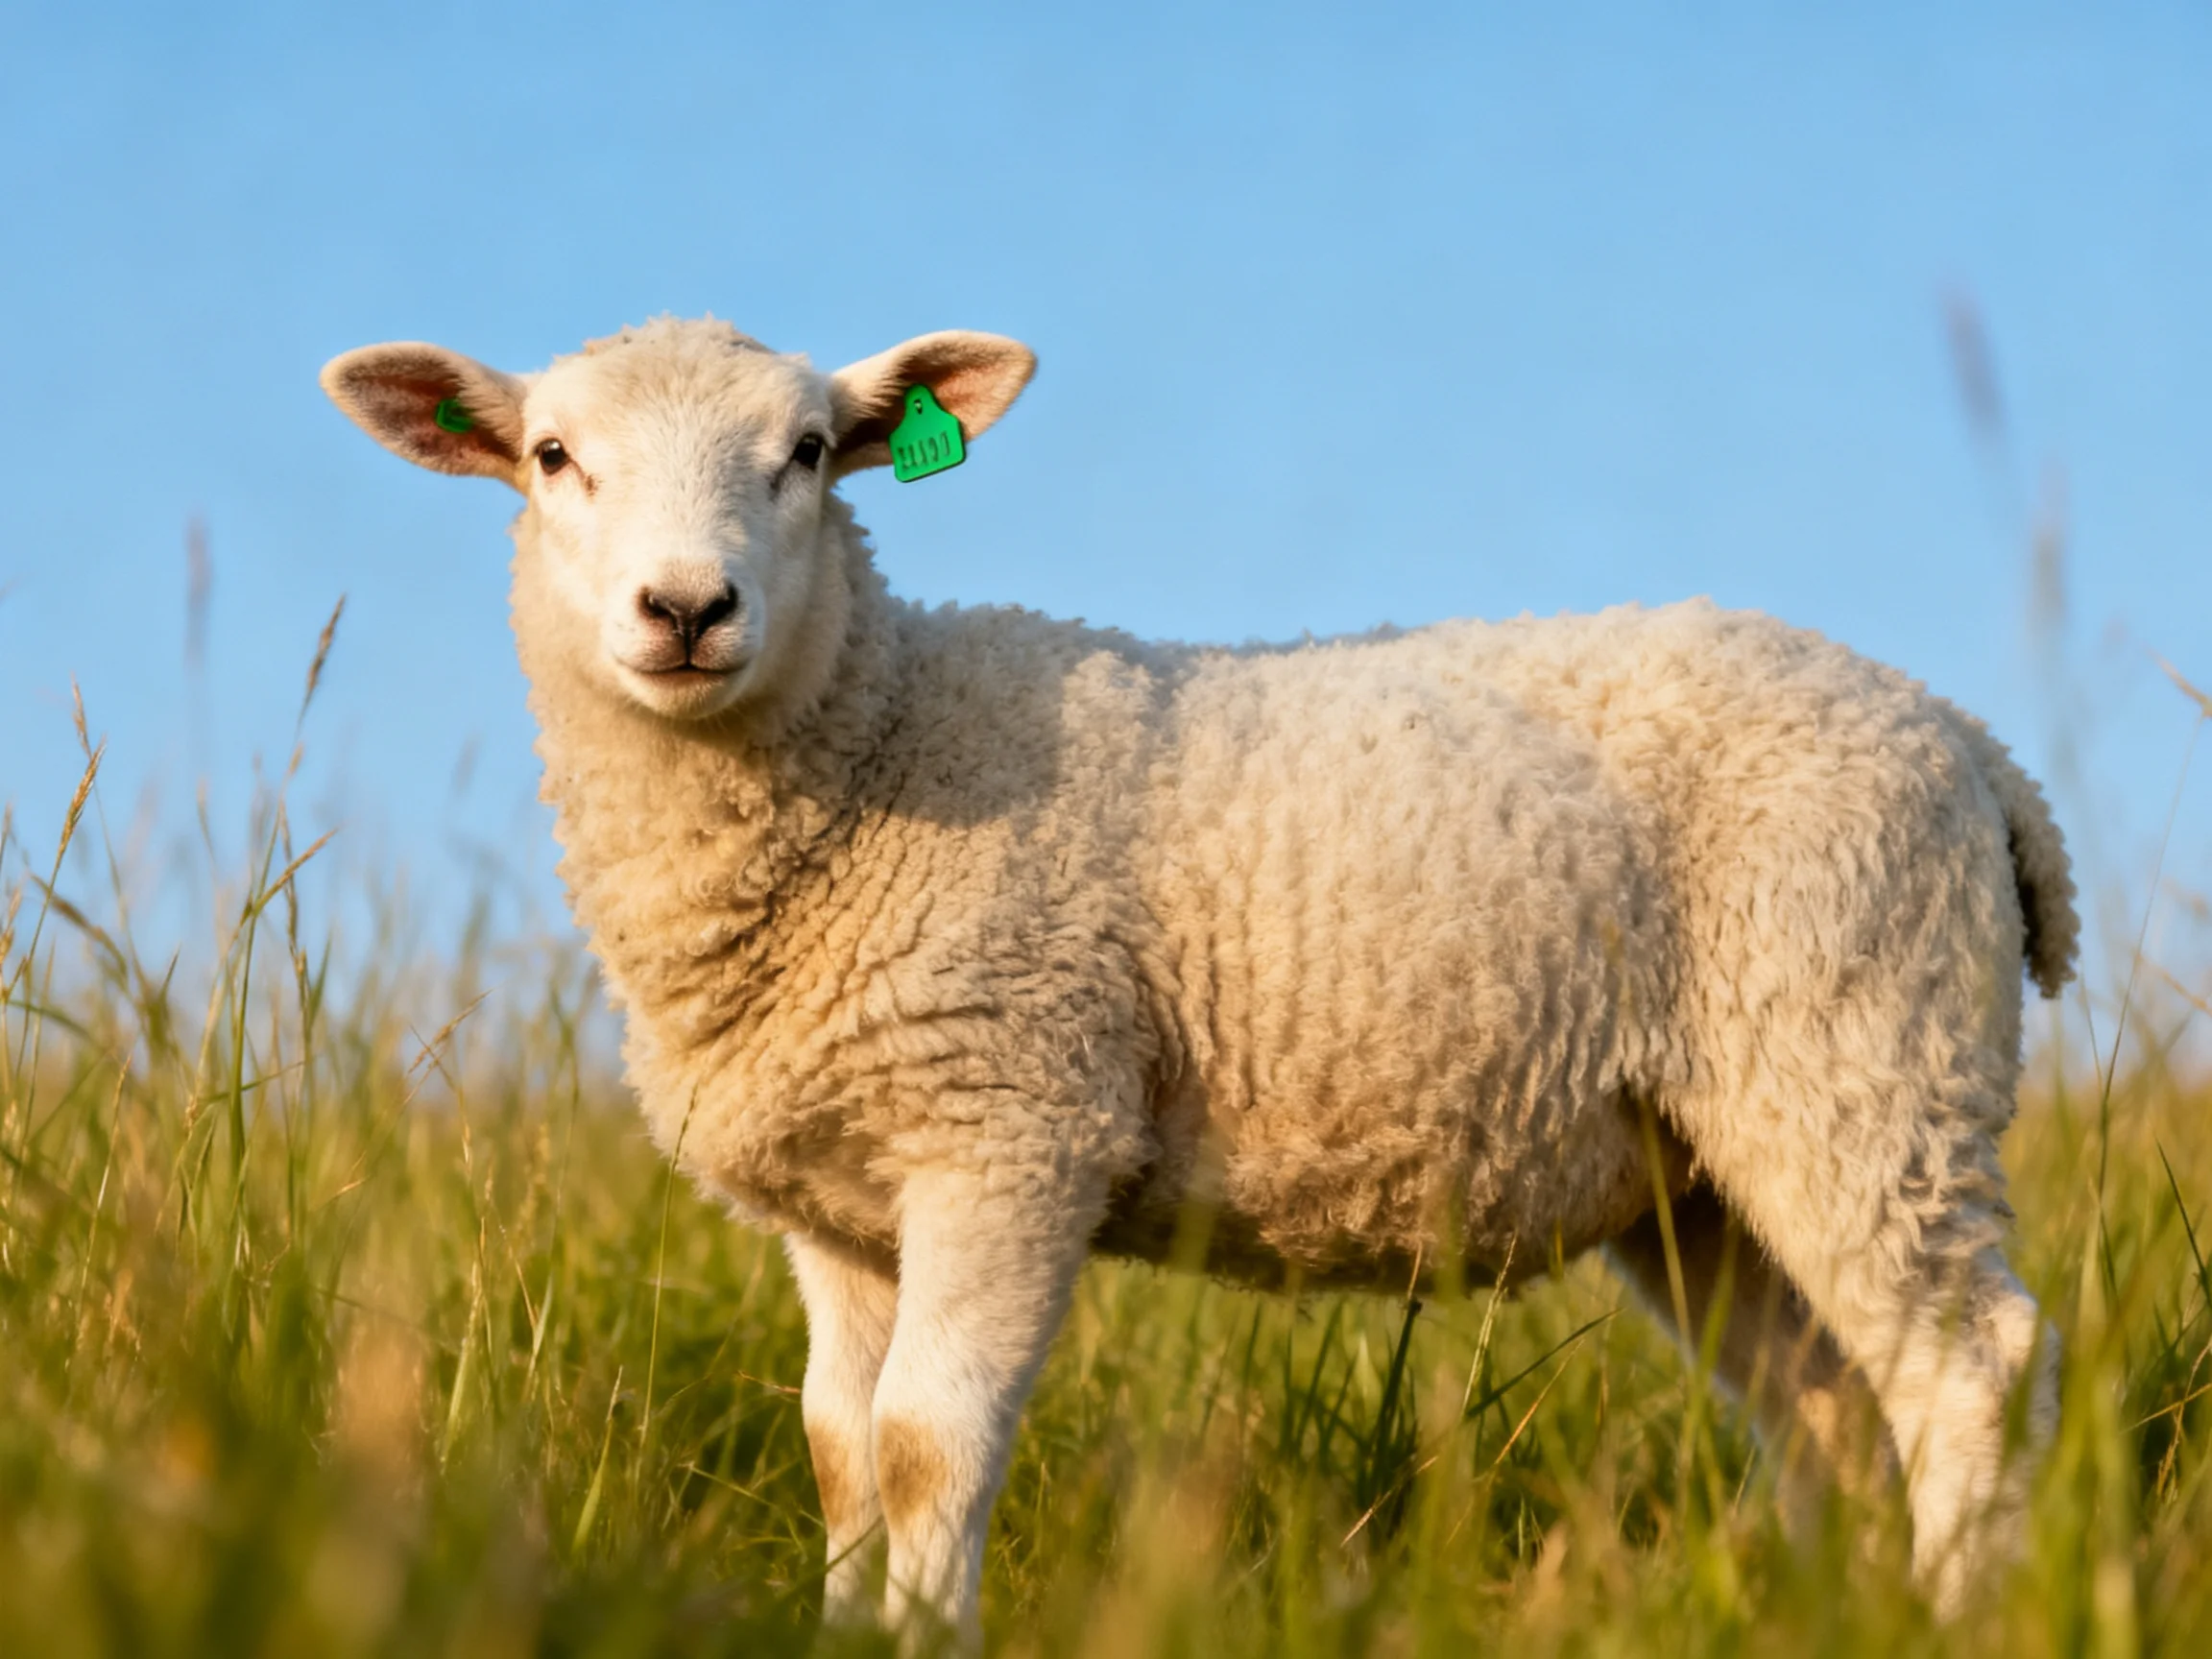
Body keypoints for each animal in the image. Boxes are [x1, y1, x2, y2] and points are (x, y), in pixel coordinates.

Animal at [321, 315, 2079, 1643]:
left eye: (808, 452)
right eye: (554, 456)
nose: (686, 608)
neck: (877, 745)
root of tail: (1974, 748)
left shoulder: (1011, 1124)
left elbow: (924, 1444)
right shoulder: (841, 1195)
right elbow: (836, 1452)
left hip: (1860, 1050)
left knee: (1967, 1365)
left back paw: (1959, 1612)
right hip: (1703, 1166)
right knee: (1827, 1404)